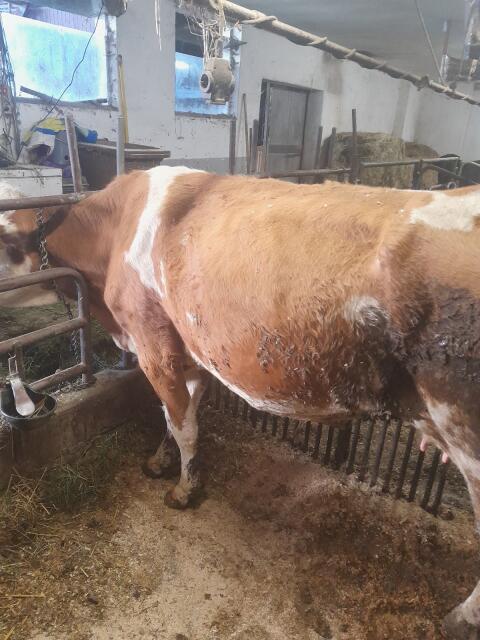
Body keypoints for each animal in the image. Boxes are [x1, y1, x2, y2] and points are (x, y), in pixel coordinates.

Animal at [0, 166, 479, 638]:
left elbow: (182, 423)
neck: (115, 230)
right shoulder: (188, 351)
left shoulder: (153, 344)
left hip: (462, 425)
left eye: (4, 240)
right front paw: (161, 462)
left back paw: (460, 620)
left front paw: (184, 490)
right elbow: (177, 416)